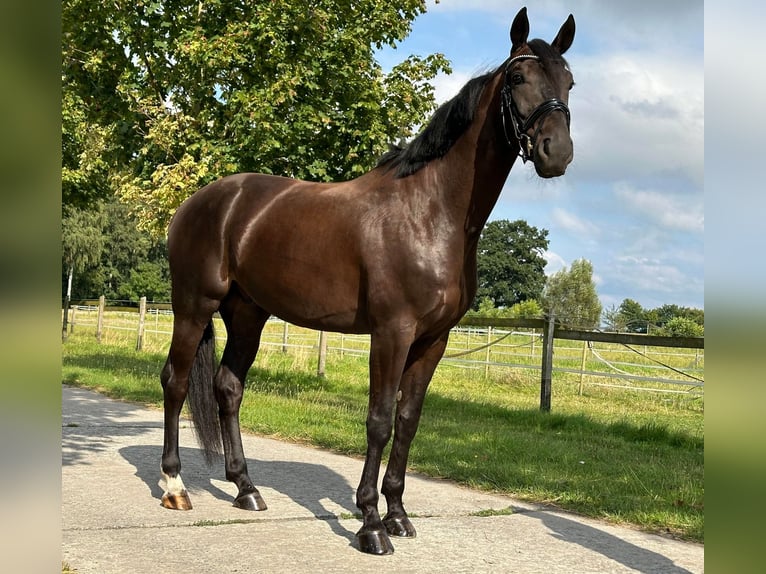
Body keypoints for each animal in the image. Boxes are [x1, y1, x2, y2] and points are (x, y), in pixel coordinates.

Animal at [160, 6, 576, 560]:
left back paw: (246, 489)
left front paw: (398, 514)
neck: (431, 212)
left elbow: (407, 421)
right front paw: (371, 524)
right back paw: (175, 486)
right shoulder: (392, 332)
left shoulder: (433, 340)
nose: (557, 152)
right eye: (517, 78)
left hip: (248, 314)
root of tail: (199, 201)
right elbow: (378, 420)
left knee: (228, 388)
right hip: (193, 305)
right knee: (176, 381)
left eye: (569, 82)